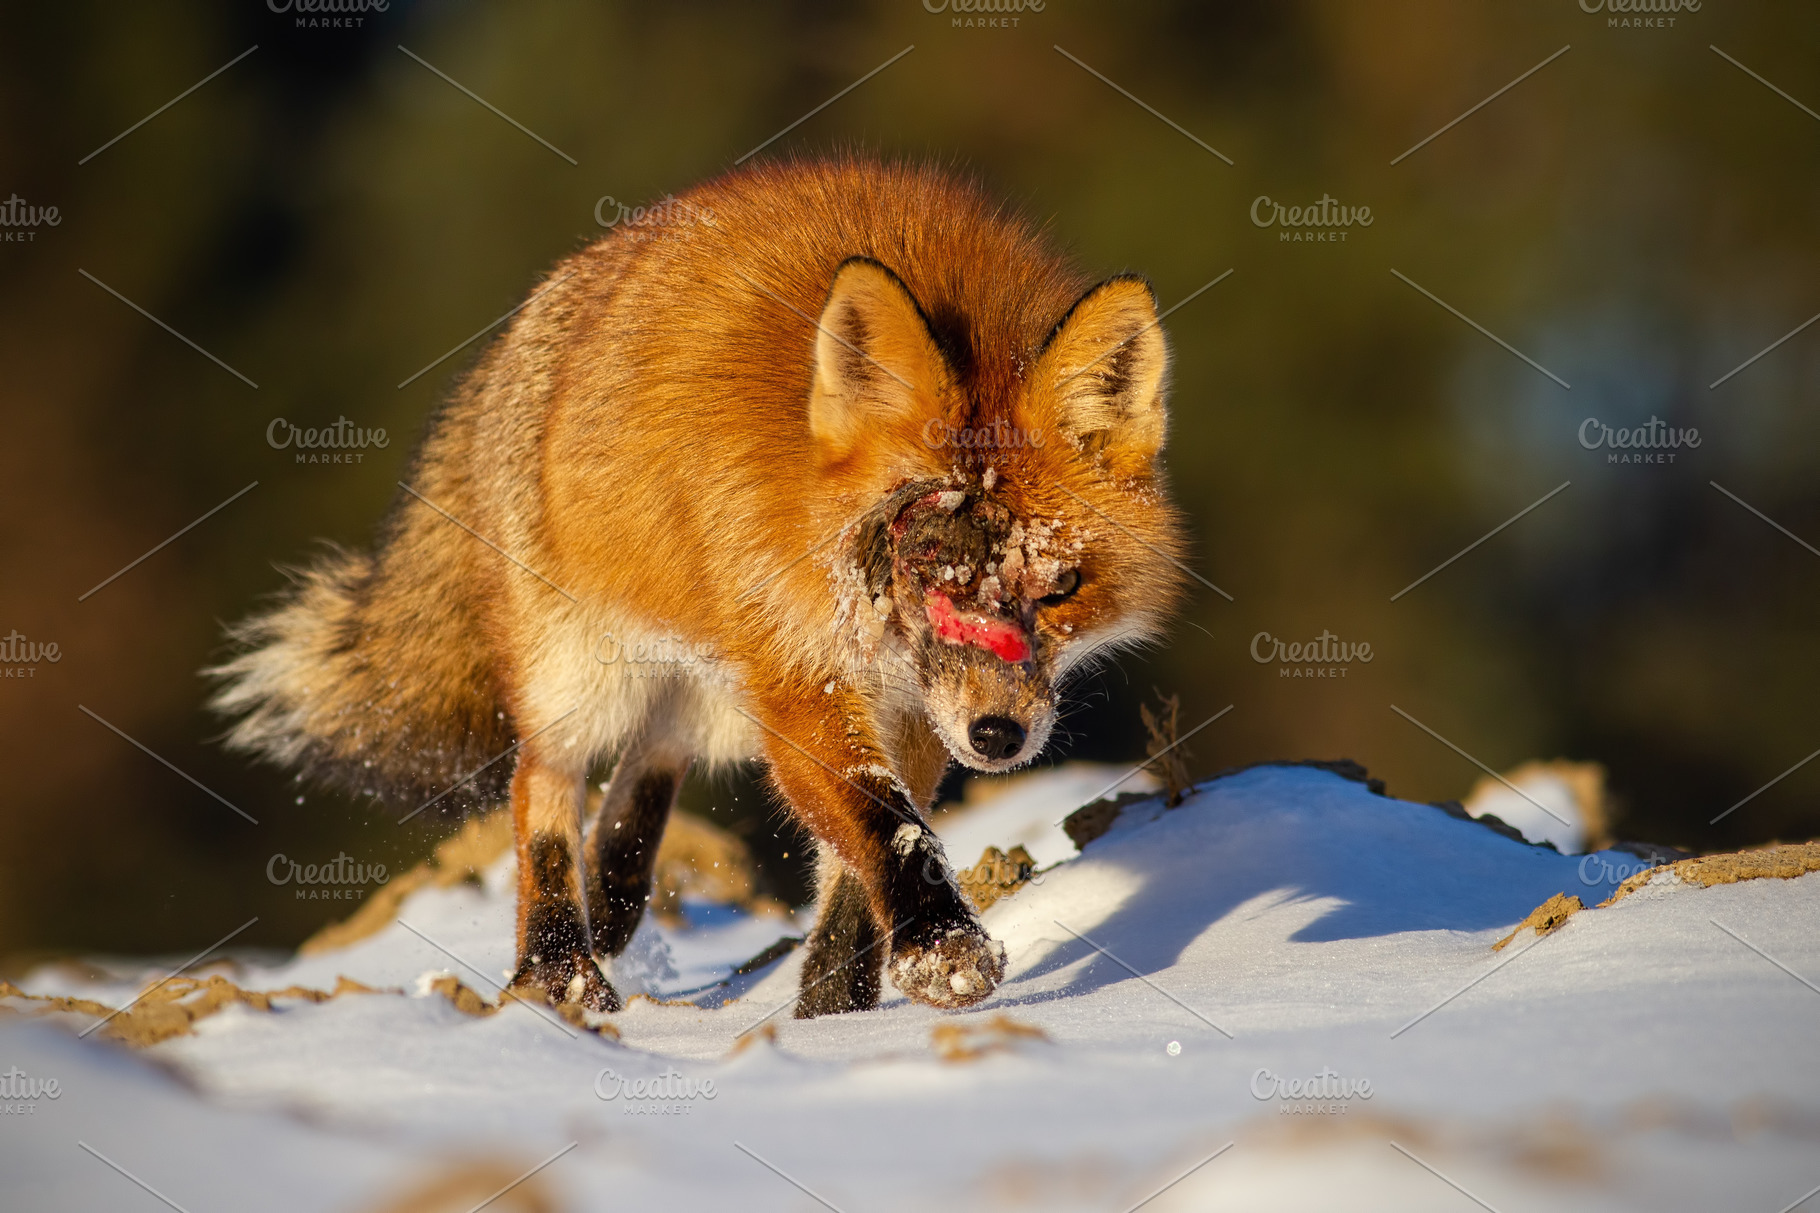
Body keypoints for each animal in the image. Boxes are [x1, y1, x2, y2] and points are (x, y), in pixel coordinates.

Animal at [212, 155, 1186, 1012]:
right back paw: (560, 968)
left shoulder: (903, 708)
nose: (998, 736)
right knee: (542, 784)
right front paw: (943, 952)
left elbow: (851, 881)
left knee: (651, 761)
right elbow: (885, 824)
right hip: (584, 672)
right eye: (923, 577)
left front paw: (835, 1014)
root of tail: (541, 306)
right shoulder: (804, 681)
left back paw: (611, 895)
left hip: (708, 677)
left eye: (1057, 586)